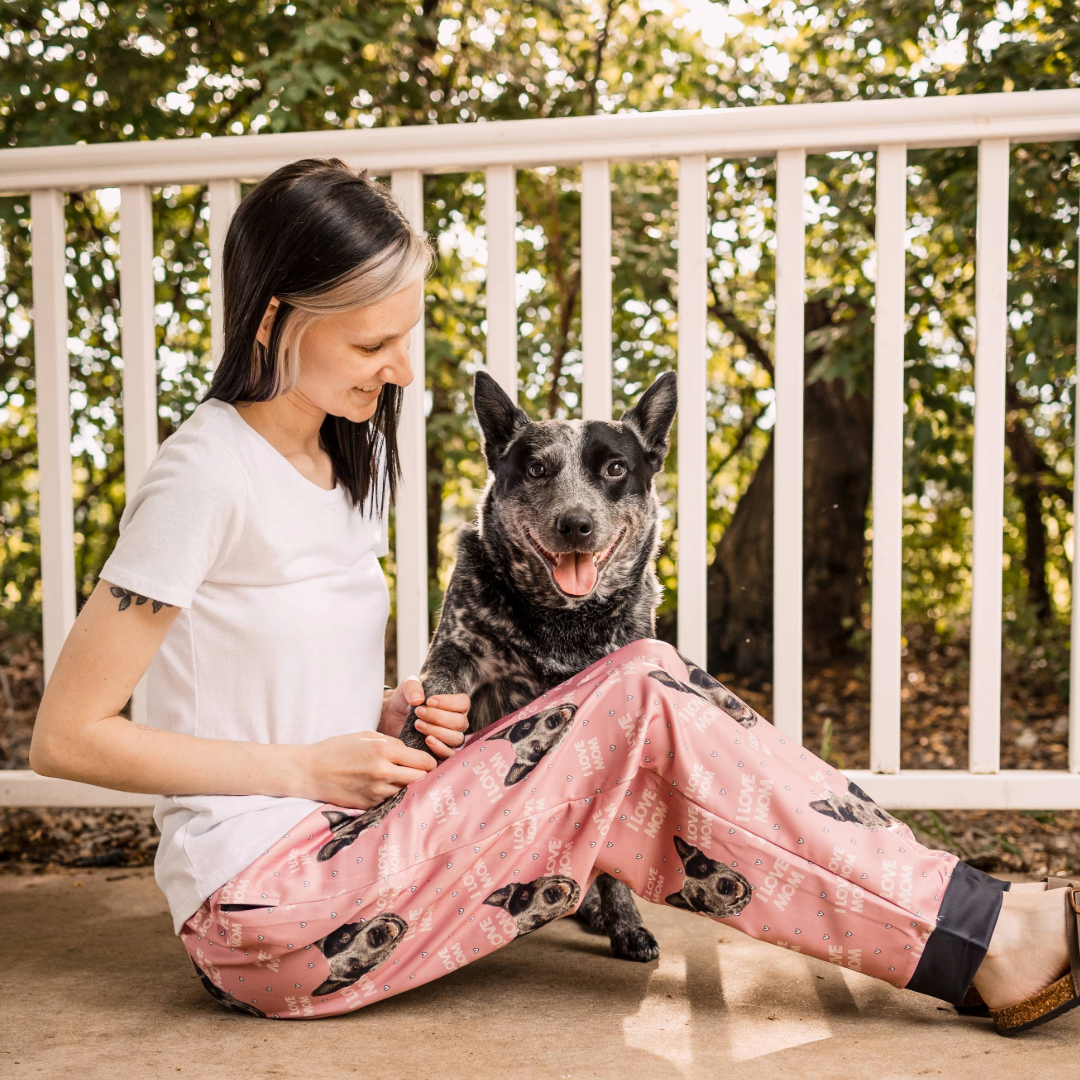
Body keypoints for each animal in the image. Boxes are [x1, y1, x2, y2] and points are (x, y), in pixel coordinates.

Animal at [397, 369, 678, 963]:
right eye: (537, 469)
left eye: (615, 469)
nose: (575, 524)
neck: (561, 621)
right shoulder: (455, 653)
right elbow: (427, 714)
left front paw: (626, 923)